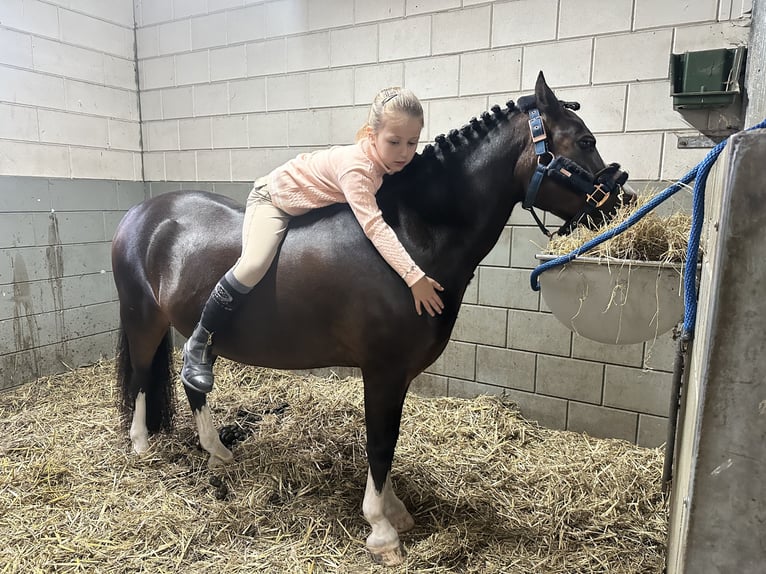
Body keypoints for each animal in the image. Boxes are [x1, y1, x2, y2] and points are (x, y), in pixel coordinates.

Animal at [112, 72, 633, 566]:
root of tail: (141, 214)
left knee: (194, 383)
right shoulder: (382, 370)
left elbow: (390, 441)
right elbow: (379, 443)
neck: (408, 238)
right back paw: (141, 447)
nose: (624, 201)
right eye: (584, 140)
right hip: (144, 321)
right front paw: (382, 531)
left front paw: (396, 511)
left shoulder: (398, 375)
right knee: (140, 377)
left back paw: (218, 453)